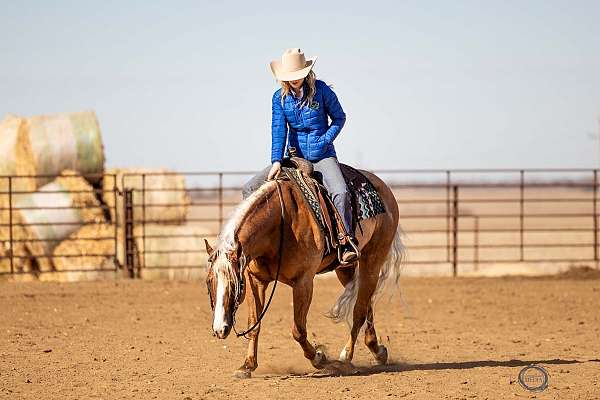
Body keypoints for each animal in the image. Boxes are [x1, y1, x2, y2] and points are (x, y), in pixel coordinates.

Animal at [203, 170, 404, 378]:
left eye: (234, 286)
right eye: (209, 282)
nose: (219, 329)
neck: (280, 224)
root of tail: (383, 188)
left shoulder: (303, 282)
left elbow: (298, 330)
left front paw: (319, 358)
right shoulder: (255, 281)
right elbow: (254, 323)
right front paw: (247, 365)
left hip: (372, 261)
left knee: (359, 311)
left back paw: (346, 357)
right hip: (345, 268)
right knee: (366, 304)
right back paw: (378, 351)